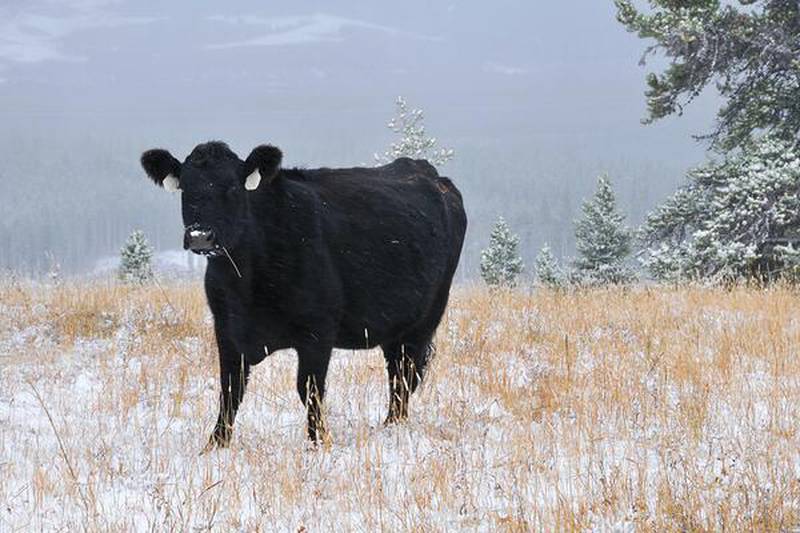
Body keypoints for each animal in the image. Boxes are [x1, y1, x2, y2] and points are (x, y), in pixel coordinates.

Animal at [141, 141, 466, 444]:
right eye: (185, 188)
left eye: (232, 187)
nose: (200, 236)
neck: (246, 280)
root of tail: (428, 171)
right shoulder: (227, 329)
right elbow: (230, 389)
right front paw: (216, 444)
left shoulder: (318, 332)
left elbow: (309, 389)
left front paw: (318, 442)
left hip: (424, 320)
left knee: (404, 375)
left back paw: (393, 427)